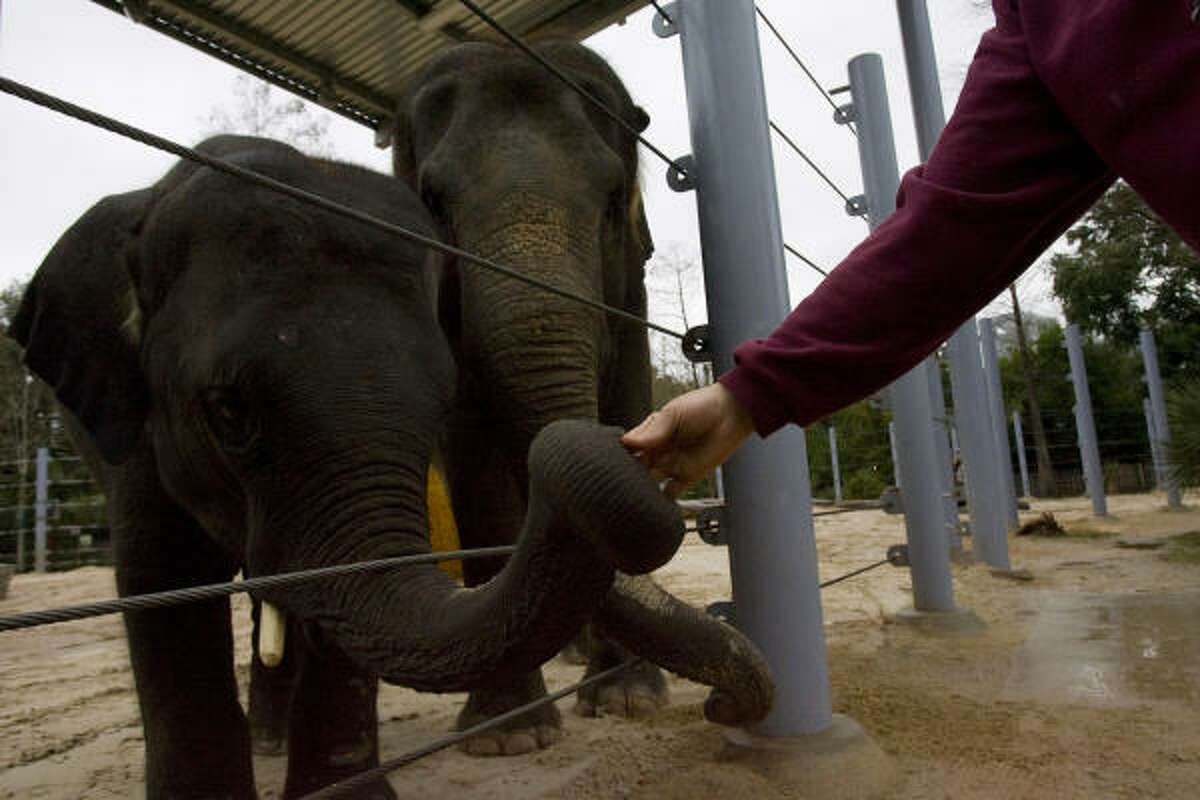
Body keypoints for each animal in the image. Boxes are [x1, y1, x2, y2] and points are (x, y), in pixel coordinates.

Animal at [11, 135, 772, 799]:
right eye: (227, 410)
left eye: (440, 402)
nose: (720, 708)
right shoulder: (131, 424)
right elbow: (158, 581)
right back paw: (266, 741)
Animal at [393, 39, 681, 752]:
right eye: (432, 200)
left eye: (614, 197)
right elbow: (472, 455)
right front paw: (508, 735)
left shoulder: (630, 299)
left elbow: (628, 401)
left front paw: (629, 701)